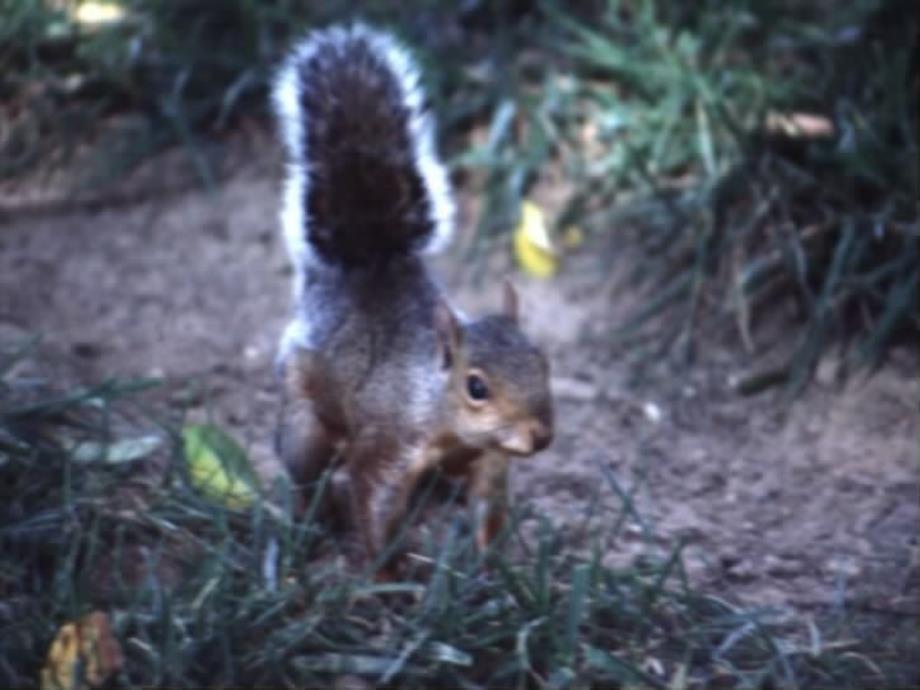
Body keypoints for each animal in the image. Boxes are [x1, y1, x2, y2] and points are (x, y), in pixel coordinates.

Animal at [266, 25, 552, 576]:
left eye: (543, 363)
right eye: (476, 387)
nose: (541, 436)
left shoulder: (488, 458)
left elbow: (488, 505)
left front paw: (490, 566)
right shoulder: (387, 443)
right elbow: (374, 502)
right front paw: (388, 575)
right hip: (305, 415)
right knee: (305, 467)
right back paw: (311, 519)